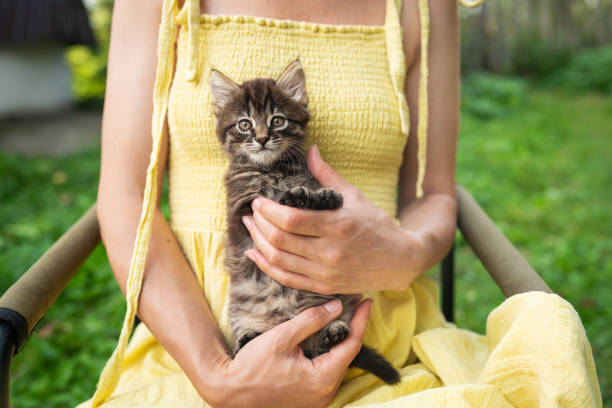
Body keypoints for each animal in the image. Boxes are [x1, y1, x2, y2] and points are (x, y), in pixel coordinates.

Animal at [210, 60, 402, 386]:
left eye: (277, 120)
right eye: (244, 124)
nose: (262, 138)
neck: (272, 169)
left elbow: (307, 192)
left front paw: (320, 197)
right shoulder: (240, 209)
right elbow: (265, 201)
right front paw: (287, 197)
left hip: (340, 303)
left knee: (322, 345)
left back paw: (333, 333)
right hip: (240, 311)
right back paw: (249, 338)